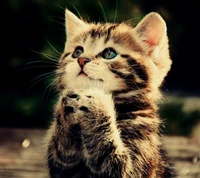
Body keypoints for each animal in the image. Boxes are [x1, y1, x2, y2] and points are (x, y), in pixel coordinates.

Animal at [46, 8, 174, 178]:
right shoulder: (63, 168)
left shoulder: (135, 165)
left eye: (109, 54)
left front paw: (97, 103)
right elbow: (62, 154)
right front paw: (66, 109)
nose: (81, 59)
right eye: (77, 52)